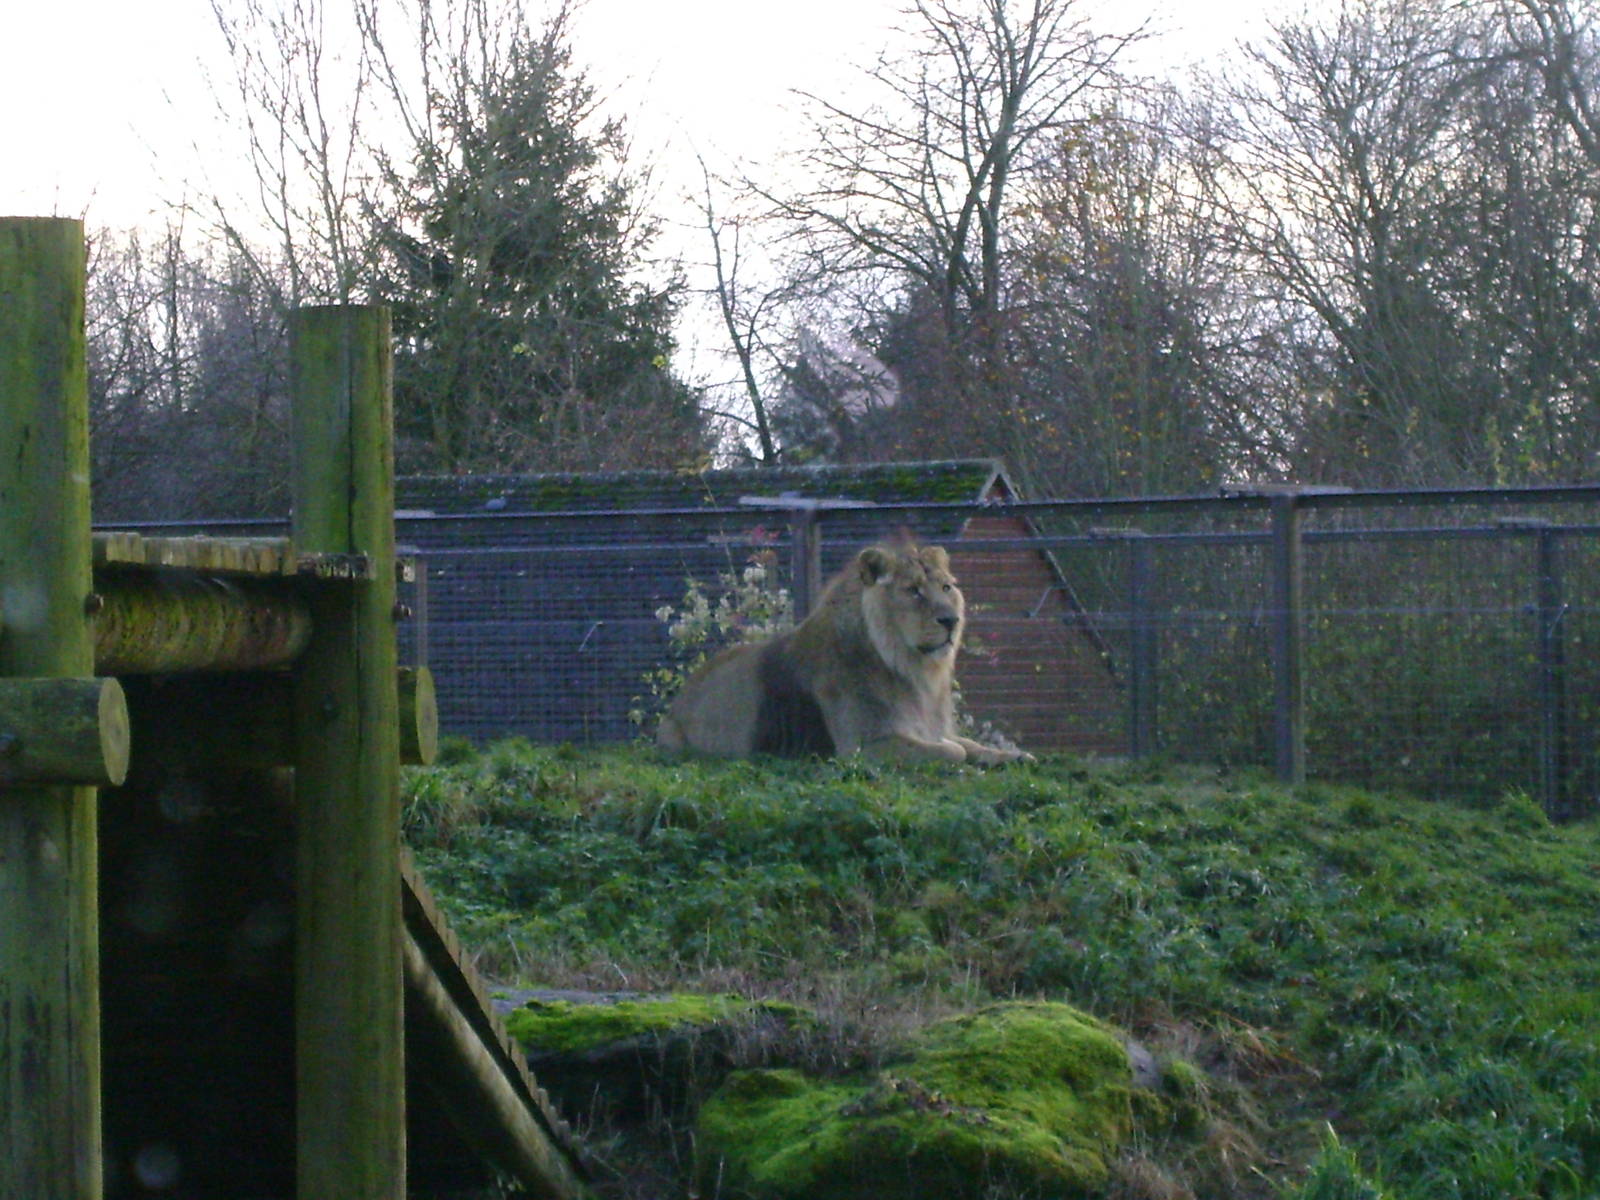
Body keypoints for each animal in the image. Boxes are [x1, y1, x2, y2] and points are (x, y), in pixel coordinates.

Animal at [656, 539, 1031, 765]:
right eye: (913, 591)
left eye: (946, 587)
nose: (951, 620)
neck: (914, 670)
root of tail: (678, 704)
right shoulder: (864, 746)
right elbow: (954, 752)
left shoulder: (931, 726)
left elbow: (970, 744)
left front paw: (1013, 756)